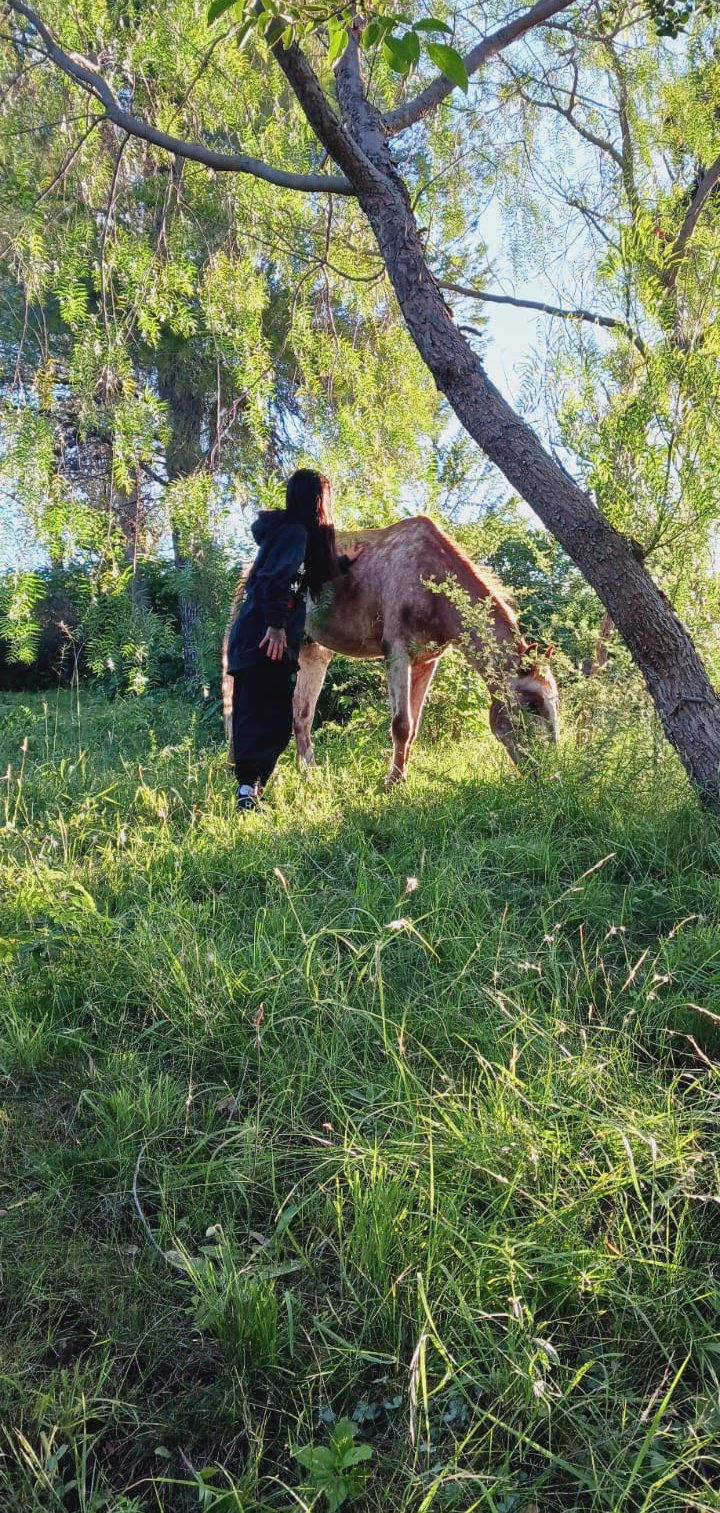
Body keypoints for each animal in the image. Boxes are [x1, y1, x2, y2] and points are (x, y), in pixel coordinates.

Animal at [223, 515, 559, 784]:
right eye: (532, 704)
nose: (552, 771)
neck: (431, 579)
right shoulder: (397, 653)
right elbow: (401, 724)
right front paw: (392, 784)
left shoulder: (426, 662)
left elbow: (413, 727)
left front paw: (401, 778)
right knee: (236, 706)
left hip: (312, 652)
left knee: (300, 714)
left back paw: (309, 775)